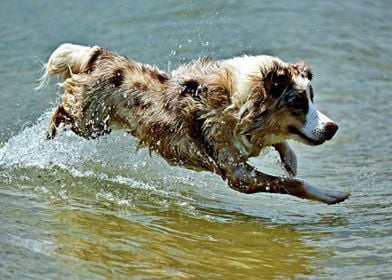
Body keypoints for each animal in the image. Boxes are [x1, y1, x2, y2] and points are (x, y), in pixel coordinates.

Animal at [36, 43, 350, 205]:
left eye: (312, 98)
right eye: (298, 103)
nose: (332, 127)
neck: (237, 103)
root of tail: (98, 54)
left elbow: (282, 150)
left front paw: (290, 161)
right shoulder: (238, 175)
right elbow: (289, 184)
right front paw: (332, 194)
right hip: (90, 123)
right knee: (62, 110)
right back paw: (48, 134)